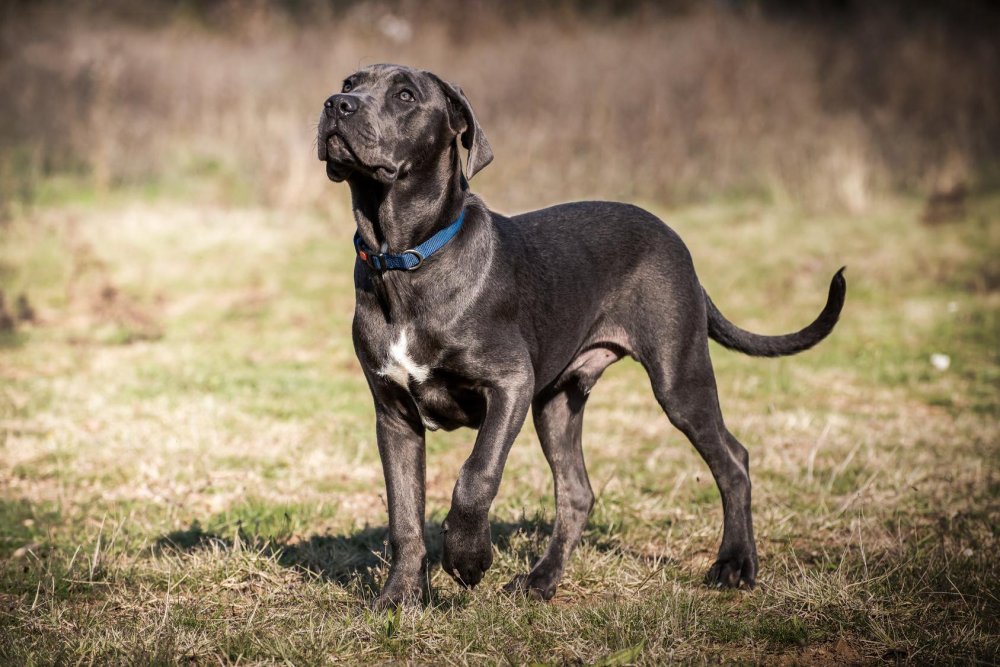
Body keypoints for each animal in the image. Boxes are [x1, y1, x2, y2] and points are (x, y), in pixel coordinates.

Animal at [314, 65, 844, 608]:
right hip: (557, 402)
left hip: (678, 376)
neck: (403, 260)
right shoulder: (394, 412)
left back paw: (735, 565)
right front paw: (399, 598)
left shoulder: (510, 383)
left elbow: (477, 474)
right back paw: (541, 579)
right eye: (350, 83)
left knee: (733, 459)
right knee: (577, 491)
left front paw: (467, 558)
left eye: (405, 95)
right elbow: (403, 512)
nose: (336, 104)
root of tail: (675, 241)